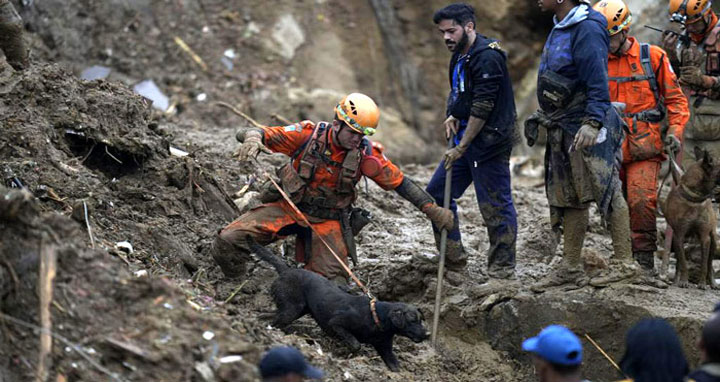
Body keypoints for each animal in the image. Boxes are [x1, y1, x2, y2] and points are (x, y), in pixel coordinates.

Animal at [250, 240, 428, 372]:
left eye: (421, 320)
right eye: (412, 320)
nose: (427, 334)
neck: (376, 317)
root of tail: (286, 270)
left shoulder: (386, 349)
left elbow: (395, 367)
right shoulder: (336, 323)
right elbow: (355, 344)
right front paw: (347, 354)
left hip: (294, 309)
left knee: (268, 315)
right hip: (292, 309)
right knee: (275, 320)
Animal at [664, 147, 720, 290]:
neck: (695, 199)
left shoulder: (705, 237)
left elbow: (705, 265)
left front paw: (702, 283)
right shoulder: (679, 235)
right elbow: (683, 263)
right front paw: (684, 281)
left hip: (714, 240)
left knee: (710, 264)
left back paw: (712, 283)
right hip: (676, 241)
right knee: (679, 260)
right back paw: (676, 281)